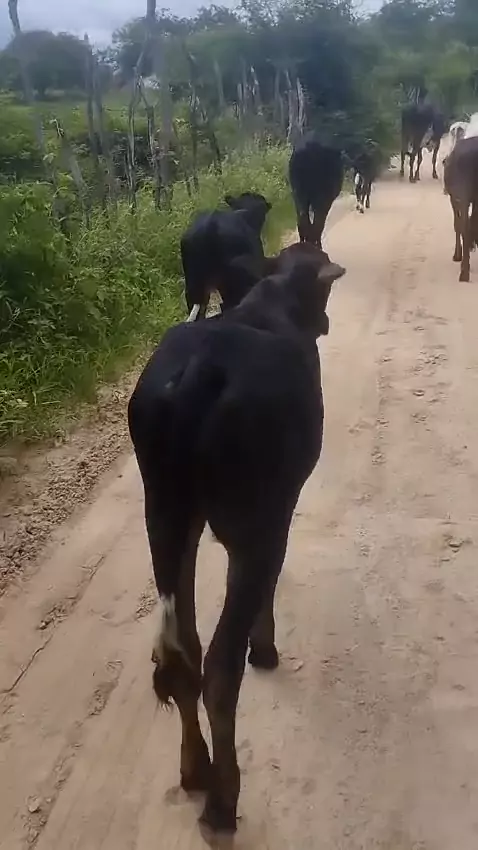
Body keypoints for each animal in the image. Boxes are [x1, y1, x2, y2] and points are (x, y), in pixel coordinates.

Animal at [128, 243, 346, 835]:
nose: (324, 322)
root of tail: (198, 375)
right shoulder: (273, 516)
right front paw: (264, 647)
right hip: (250, 522)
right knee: (219, 668)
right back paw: (224, 801)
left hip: (166, 516)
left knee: (184, 655)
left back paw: (194, 770)